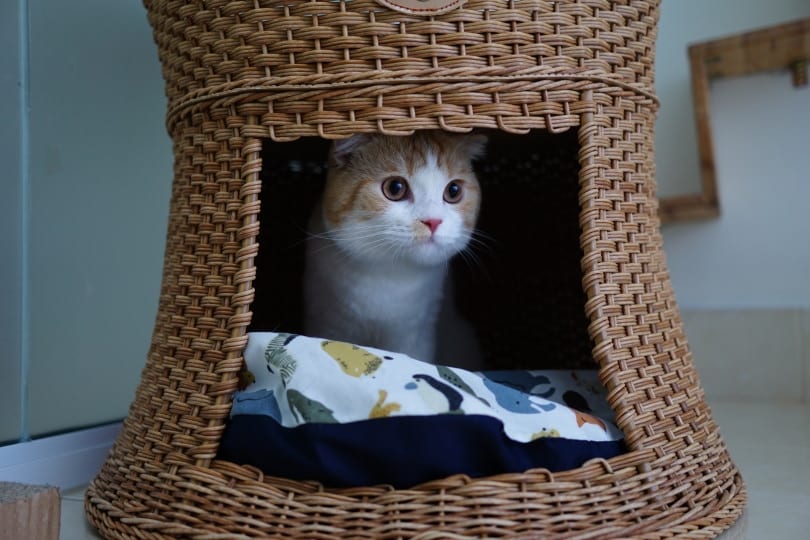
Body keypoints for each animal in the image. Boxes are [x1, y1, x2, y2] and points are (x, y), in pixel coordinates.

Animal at [300, 130, 482, 372]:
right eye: (395, 187)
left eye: (453, 191)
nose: (433, 221)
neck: (388, 274)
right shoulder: (327, 322)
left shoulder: (418, 331)